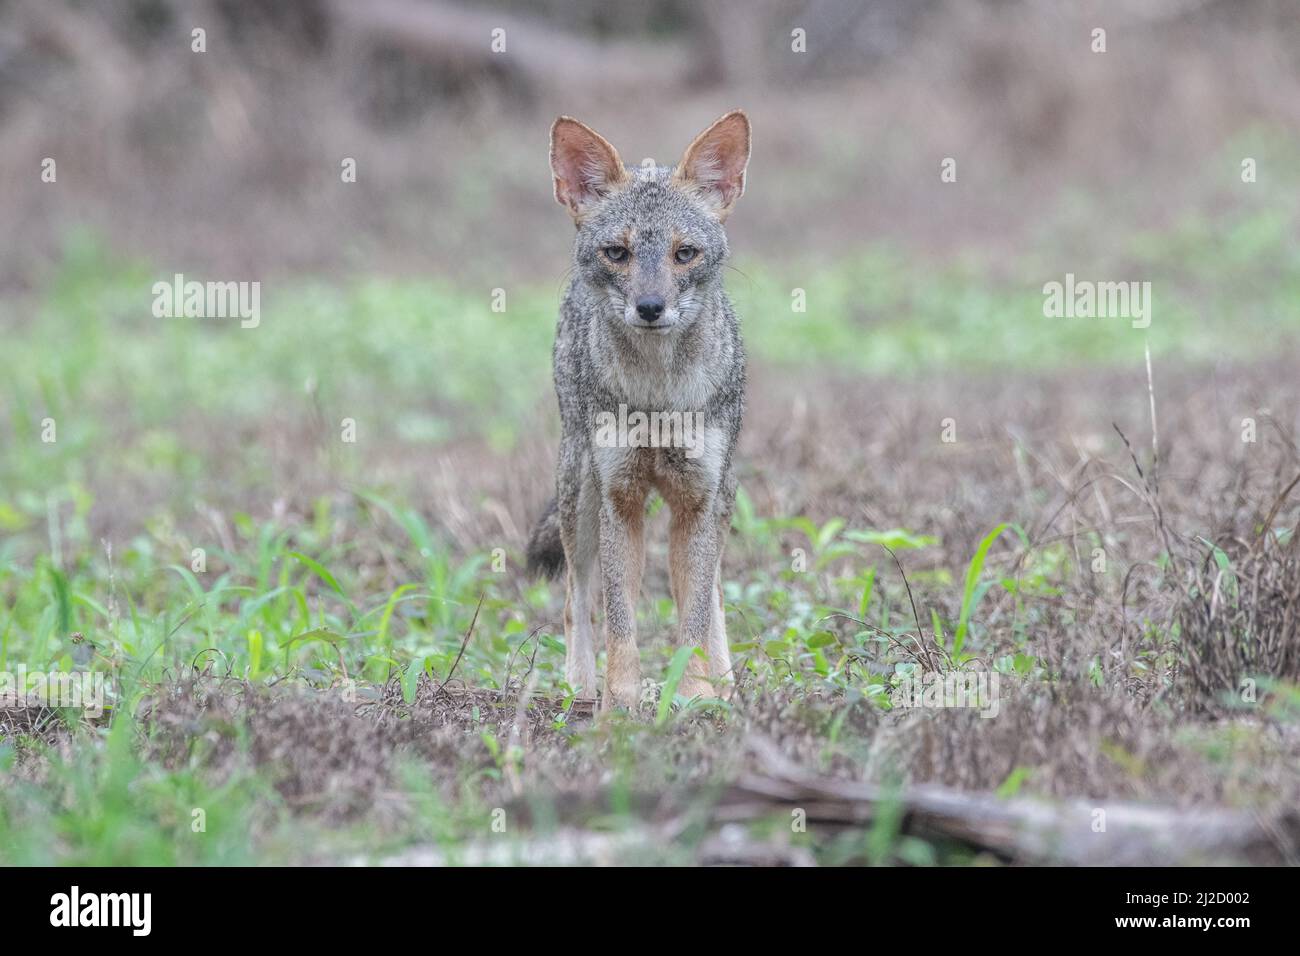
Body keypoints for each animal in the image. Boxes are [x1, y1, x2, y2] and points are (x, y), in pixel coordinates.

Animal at [525, 110, 754, 712]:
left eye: (684, 253)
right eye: (619, 254)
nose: (651, 308)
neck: (658, 397)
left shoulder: (696, 502)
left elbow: (693, 617)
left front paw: (697, 694)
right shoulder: (619, 499)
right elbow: (619, 621)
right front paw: (621, 703)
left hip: (722, 500)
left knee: (713, 593)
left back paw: (726, 682)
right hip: (579, 496)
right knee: (575, 601)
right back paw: (579, 689)